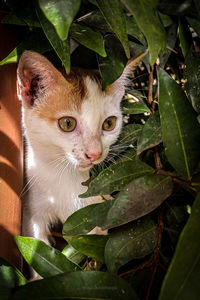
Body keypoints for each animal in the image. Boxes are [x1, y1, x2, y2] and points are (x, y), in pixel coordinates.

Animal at [16, 50, 145, 245]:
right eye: (67, 123)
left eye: (109, 123)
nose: (95, 153)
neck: (66, 178)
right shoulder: (32, 213)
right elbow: (36, 242)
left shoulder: (93, 214)